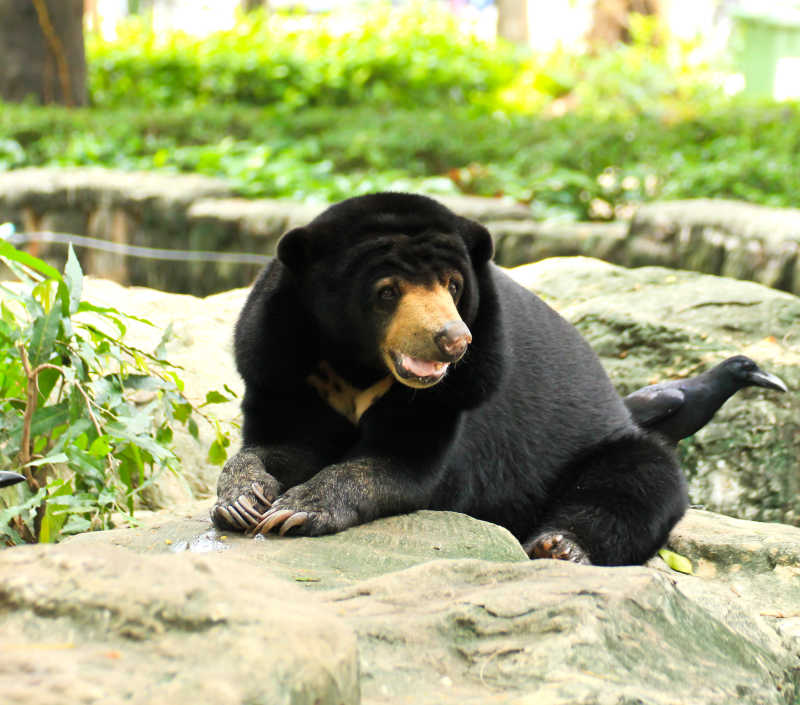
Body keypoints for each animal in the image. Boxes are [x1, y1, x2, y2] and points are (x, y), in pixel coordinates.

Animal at [214, 192, 688, 568]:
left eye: (454, 284)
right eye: (387, 291)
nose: (453, 339)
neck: (359, 365)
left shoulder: (461, 391)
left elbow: (399, 465)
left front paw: (298, 509)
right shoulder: (282, 364)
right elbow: (283, 443)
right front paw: (241, 500)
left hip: (603, 448)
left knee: (638, 482)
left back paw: (559, 546)